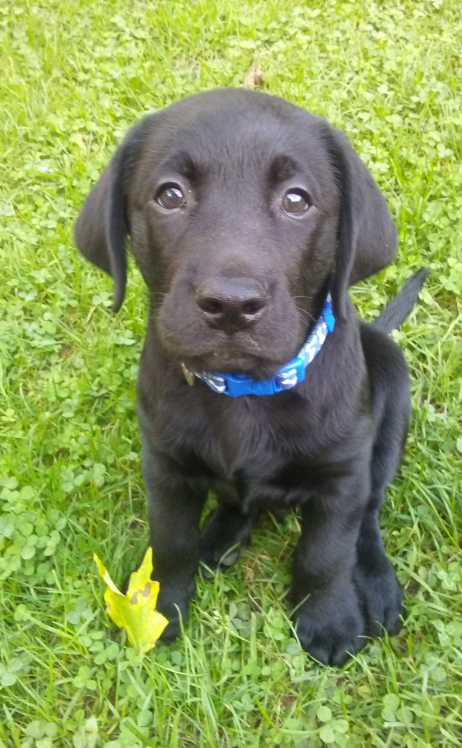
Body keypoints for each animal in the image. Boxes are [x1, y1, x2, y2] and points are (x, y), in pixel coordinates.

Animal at [76, 89, 426, 668]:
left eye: (297, 200)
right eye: (170, 195)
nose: (231, 306)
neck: (244, 389)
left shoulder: (341, 477)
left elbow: (326, 553)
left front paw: (329, 620)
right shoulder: (165, 466)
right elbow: (171, 541)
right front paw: (160, 611)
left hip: (391, 389)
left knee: (371, 512)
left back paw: (374, 581)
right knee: (238, 500)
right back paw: (220, 536)